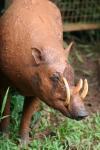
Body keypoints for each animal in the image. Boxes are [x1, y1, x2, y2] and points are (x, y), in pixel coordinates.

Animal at [0, 0, 88, 143]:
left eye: (73, 74)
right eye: (54, 77)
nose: (83, 114)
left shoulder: (39, 91)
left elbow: (27, 114)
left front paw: (24, 143)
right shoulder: (3, 80)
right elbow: (5, 109)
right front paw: (5, 138)